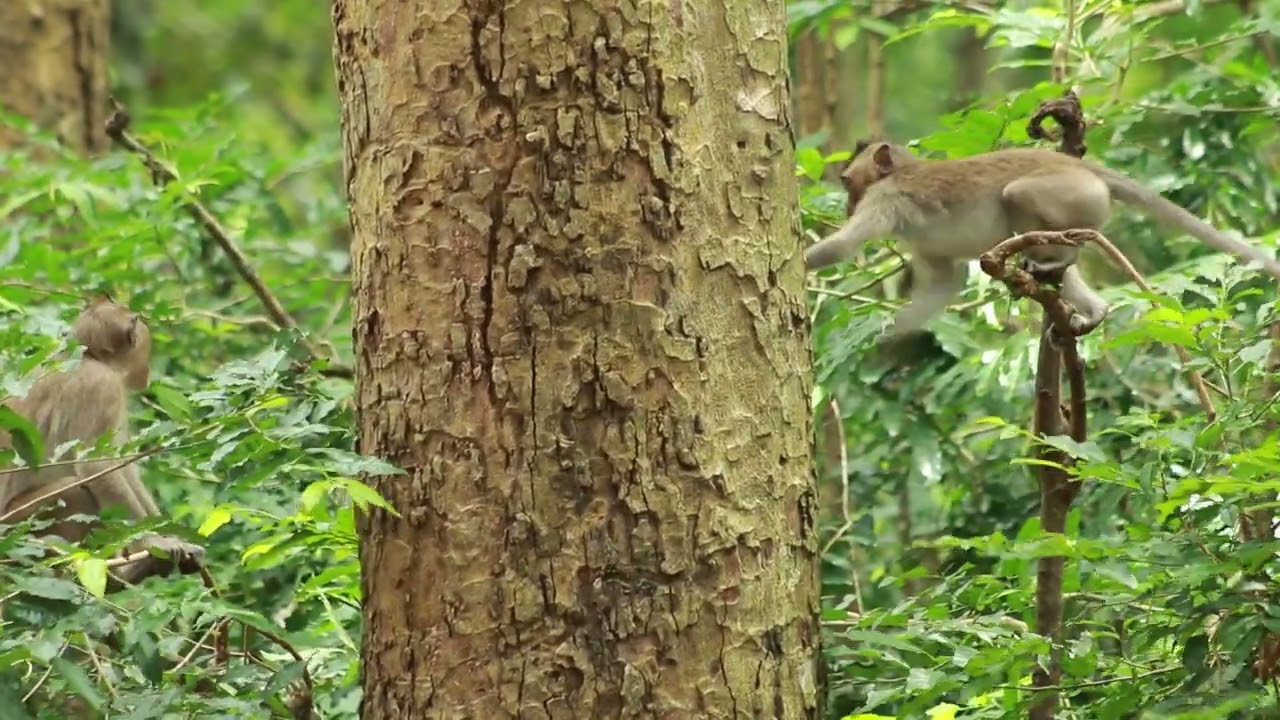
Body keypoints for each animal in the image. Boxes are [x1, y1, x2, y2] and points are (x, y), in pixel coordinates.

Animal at [0, 296, 204, 587]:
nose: (147, 367)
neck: (89, 357)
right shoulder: (101, 387)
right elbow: (95, 467)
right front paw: (154, 542)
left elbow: (123, 468)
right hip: (16, 527)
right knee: (75, 491)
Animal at [806, 142, 1280, 338]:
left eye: (847, 180)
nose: (847, 206)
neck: (904, 170)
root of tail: (1088, 169)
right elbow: (944, 283)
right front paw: (891, 336)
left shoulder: (886, 199)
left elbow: (841, 248)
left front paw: (803, 263)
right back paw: (1090, 306)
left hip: (1073, 193)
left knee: (1019, 198)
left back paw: (1057, 259)